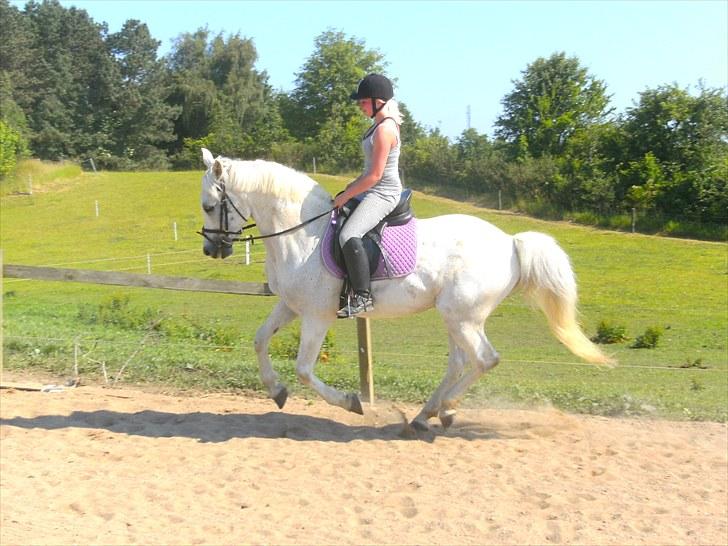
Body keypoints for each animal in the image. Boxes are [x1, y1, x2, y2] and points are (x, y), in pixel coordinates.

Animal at [199, 149, 616, 430]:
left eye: (208, 205)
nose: (211, 250)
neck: (303, 232)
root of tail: (510, 242)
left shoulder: (317, 316)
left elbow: (303, 369)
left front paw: (350, 402)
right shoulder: (290, 305)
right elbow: (259, 341)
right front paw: (276, 391)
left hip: (463, 318)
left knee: (485, 359)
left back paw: (444, 408)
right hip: (455, 318)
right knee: (460, 363)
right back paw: (429, 413)